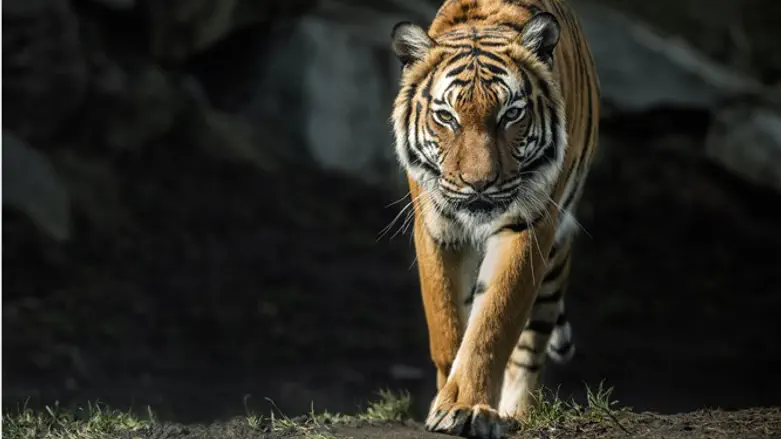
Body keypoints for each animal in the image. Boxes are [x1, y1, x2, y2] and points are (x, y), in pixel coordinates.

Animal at [388, 0, 599, 437]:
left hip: (553, 264)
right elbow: (447, 324)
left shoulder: (528, 226)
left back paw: (513, 415)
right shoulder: (437, 228)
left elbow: (491, 324)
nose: (479, 183)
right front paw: (446, 399)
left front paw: (466, 406)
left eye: (511, 114)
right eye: (446, 116)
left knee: (530, 346)